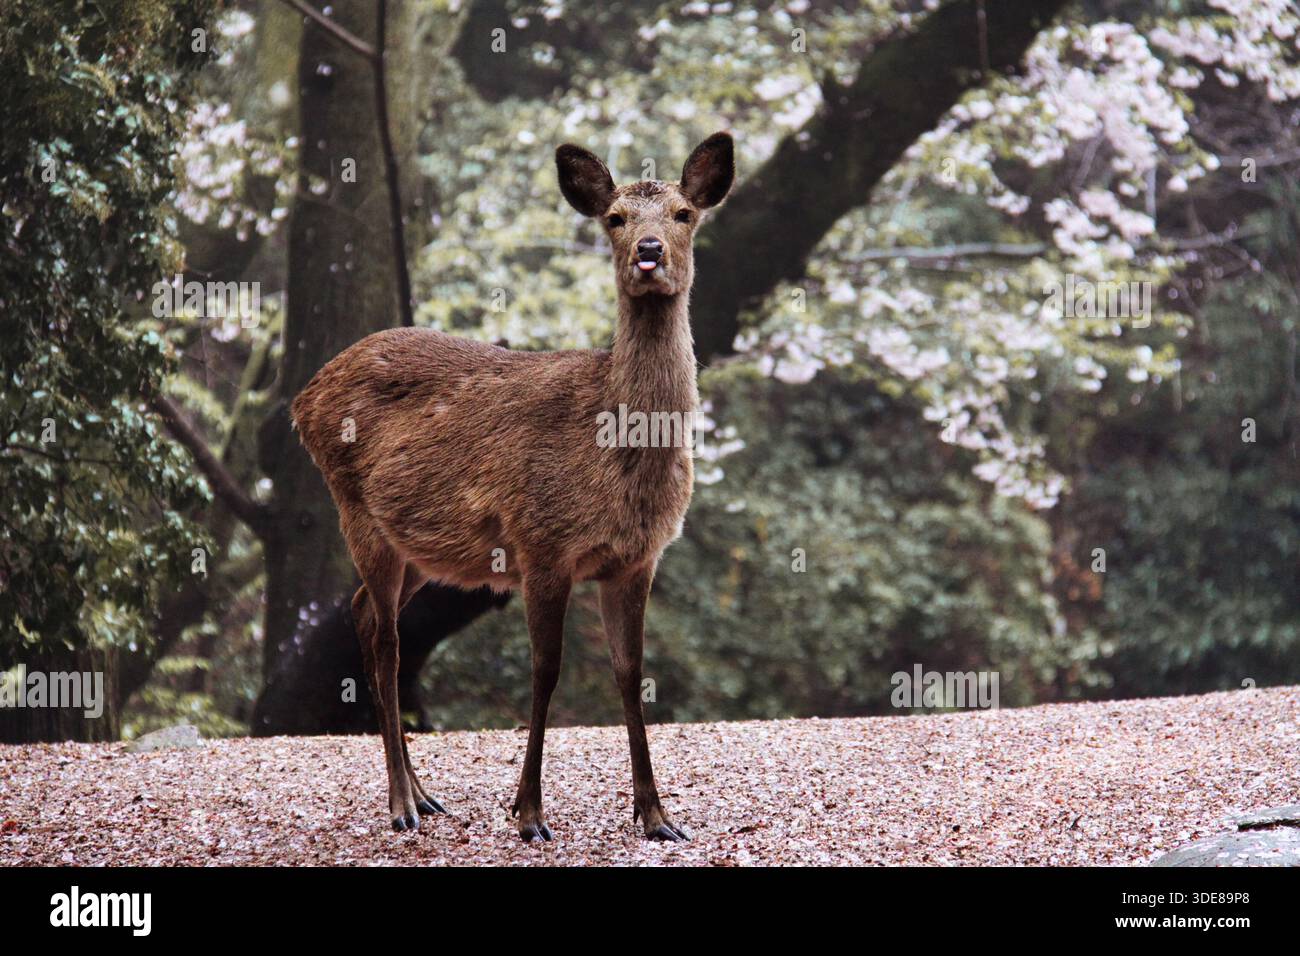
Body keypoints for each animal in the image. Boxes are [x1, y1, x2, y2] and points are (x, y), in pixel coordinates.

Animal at [290, 132, 734, 842]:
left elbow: (631, 672)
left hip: (422, 550)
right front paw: (528, 814)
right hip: (355, 510)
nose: (648, 252)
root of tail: (302, 399)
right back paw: (402, 804)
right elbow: (545, 671)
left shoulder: (636, 559)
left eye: (684, 213)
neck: (619, 456)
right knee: (387, 640)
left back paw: (426, 793)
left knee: (361, 611)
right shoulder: (541, 543)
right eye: (615, 217)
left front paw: (657, 816)